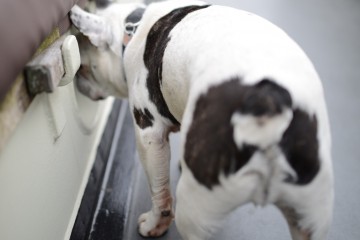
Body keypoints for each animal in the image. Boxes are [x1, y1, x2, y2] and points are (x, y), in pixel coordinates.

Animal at [70, 0, 334, 239]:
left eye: (82, 68)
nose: (77, 81)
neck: (134, 25)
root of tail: (268, 99)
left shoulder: (149, 136)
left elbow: (159, 189)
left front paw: (155, 224)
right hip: (310, 214)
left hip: (194, 210)